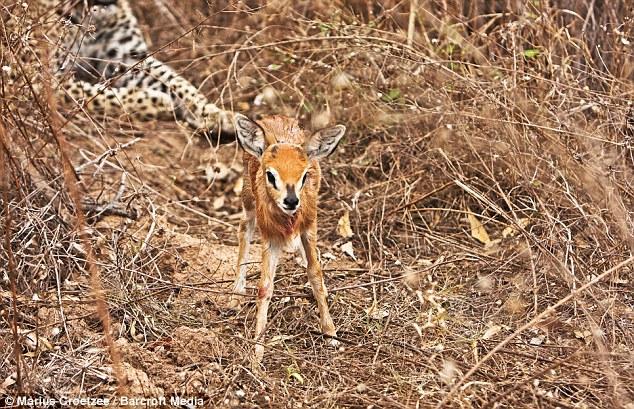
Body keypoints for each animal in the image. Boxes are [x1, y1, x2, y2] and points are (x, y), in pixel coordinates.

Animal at [3, 0, 235, 142]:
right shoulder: (34, 74)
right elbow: (96, 96)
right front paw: (157, 103)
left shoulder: (129, 57)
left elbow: (177, 82)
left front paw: (218, 115)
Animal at [228, 112, 346, 364]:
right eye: (270, 174)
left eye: (304, 175)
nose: (291, 200)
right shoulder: (270, 237)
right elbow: (264, 287)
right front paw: (257, 351)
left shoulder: (310, 227)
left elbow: (315, 274)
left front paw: (330, 332)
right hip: (248, 198)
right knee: (244, 227)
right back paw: (235, 295)